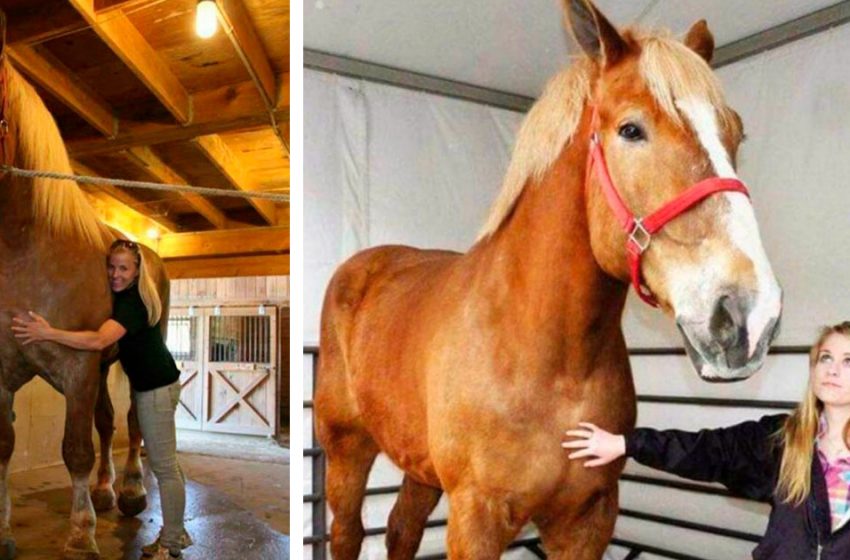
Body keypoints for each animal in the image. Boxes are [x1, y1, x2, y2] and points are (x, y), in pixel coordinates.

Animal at [316, 1, 780, 560]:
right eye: (631, 130)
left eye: (735, 134)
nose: (748, 316)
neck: (552, 364)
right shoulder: (476, 519)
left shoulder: (586, 520)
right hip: (347, 449)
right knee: (347, 531)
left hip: (417, 465)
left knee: (401, 528)